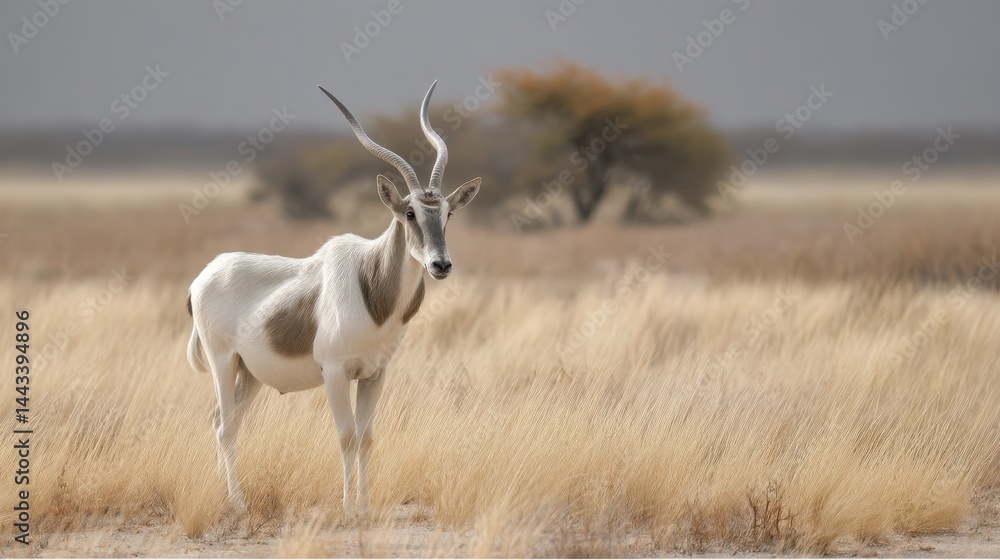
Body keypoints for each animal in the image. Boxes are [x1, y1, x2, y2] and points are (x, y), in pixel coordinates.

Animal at [185, 81, 480, 516]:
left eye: (447, 214)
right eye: (409, 213)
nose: (440, 264)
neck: (370, 285)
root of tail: (202, 278)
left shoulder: (375, 374)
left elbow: (367, 437)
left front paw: (365, 507)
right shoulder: (335, 373)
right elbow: (346, 436)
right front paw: (347, 508)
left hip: (250, 374)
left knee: (225, 422)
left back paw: (230, 497)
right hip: (224, 363)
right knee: (224, 427)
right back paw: (237, 503)